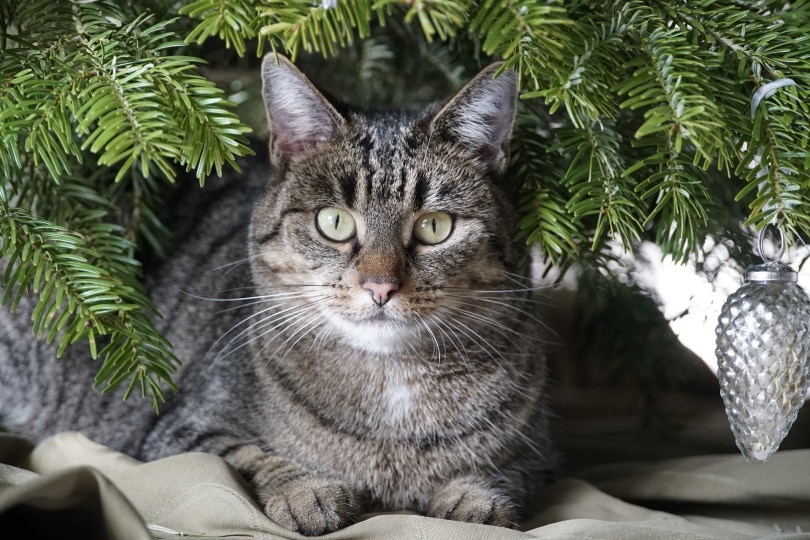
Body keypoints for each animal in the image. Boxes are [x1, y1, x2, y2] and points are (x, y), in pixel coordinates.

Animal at [0, 54, 556, 536]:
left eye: (435, 226)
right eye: (334, 222)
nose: (380, 286)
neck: (391, 387)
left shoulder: (538, 453)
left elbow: (506, 476)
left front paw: (473, 498)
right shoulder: (179, 432)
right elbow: (247, 458)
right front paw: (305, 490)